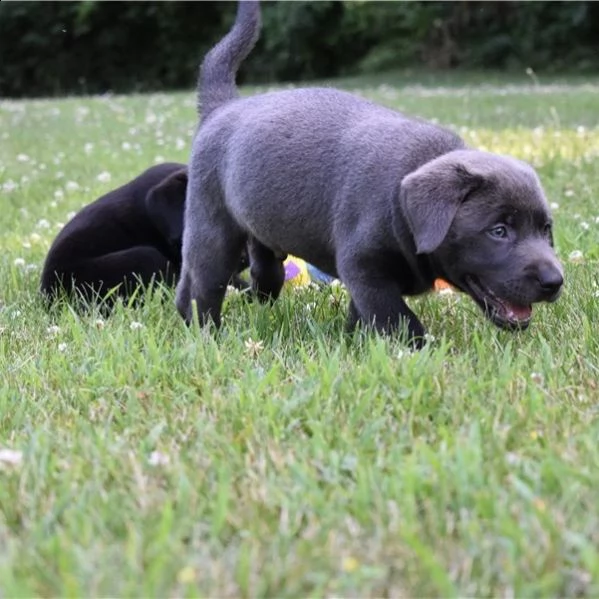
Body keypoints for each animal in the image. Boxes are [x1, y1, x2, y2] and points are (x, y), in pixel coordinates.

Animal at [177, 0, 564, 346]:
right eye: (498, 231)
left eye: (546, 230)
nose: (554, 281)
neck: (402, 208)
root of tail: (222, 107)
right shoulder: (365, 268)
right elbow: (397, 318)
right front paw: (419, 352)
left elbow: (363, 314)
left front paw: (355, 343)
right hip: (211, 225)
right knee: (205, 284)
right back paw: (207, 333)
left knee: (221, 275)